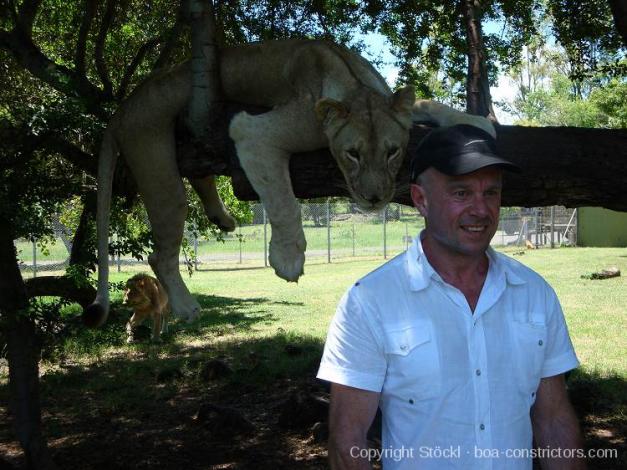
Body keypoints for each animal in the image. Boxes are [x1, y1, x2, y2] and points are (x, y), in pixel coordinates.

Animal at [84, 39, 496, 326]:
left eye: (393, 152)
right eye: (352, 154)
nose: (374, 199)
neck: (354, 81)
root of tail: (122, 109)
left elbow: (427, 102)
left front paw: (479, 122)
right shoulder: (255, 131)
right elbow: (282, 202)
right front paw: (287, 258)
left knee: (200, 173)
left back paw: (222, 218)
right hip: (156, 160)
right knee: (160, 253)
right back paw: (187, 307)